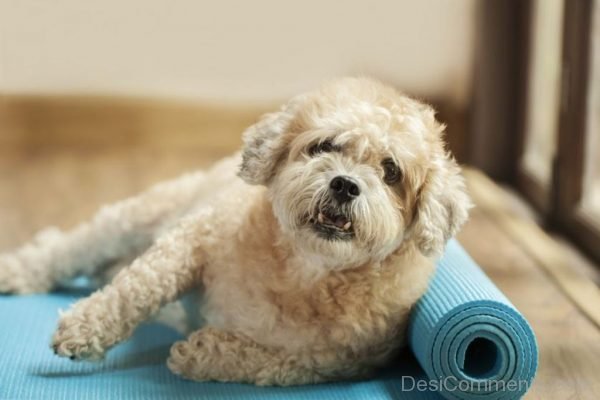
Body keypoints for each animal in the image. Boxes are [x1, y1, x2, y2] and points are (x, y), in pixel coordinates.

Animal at [0, 76, 468, 386]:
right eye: (324, 146)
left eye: (391, 172)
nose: (345, 184)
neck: (306, 271)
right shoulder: (191, 241)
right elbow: (137, 288)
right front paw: (83, 329)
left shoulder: (336, 361)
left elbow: (266, 364)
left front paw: (199, 353)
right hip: (138, 215)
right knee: (69, 250)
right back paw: (20, 271)